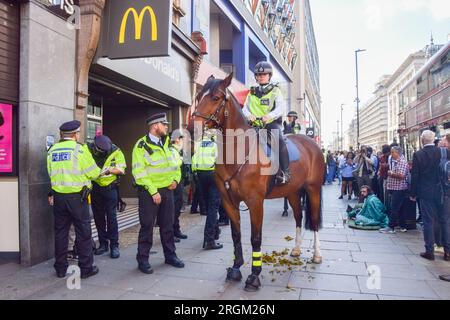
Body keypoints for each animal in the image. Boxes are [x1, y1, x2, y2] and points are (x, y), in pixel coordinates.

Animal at [188, 74, 326, 292]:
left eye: (216, 97)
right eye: (198, 96)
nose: (191, 128)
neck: (239, 152)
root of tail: (312, 144)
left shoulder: (255, 202)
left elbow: (255, 238)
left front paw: (254, 276)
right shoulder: (228, 202)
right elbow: (236, 235)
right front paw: (236, 269)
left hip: (313, 190)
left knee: (312, 220)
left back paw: (317, 255)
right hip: (293, 192)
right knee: (298, 217)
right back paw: (296, 249)